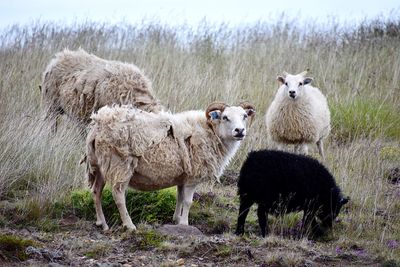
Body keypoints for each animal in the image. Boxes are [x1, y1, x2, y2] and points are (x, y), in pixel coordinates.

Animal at [86, 101, 258, 231]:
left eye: (244, 116)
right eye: (225, 117)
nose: (240, 131)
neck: (210, 131)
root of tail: (98, 126)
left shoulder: (183, 176)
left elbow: (180, 197)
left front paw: (176, 219)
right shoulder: (193, 177)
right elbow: (188, 201)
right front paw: (185, 223)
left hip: (101, 165)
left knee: (96, 191)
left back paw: (102, 223)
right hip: (120, 164)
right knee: (118, 195)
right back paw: (129, 225)